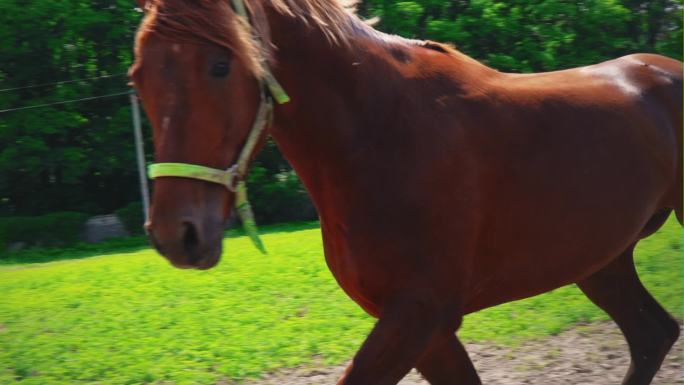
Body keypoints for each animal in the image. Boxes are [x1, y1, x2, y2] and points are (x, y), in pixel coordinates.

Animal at [130, 1, 684, 382]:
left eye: (221, 66)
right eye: (138, 77)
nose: (177, 234)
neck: (382, 134)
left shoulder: (420, 313)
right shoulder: (427, 328)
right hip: (601, 260)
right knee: (652, 335)